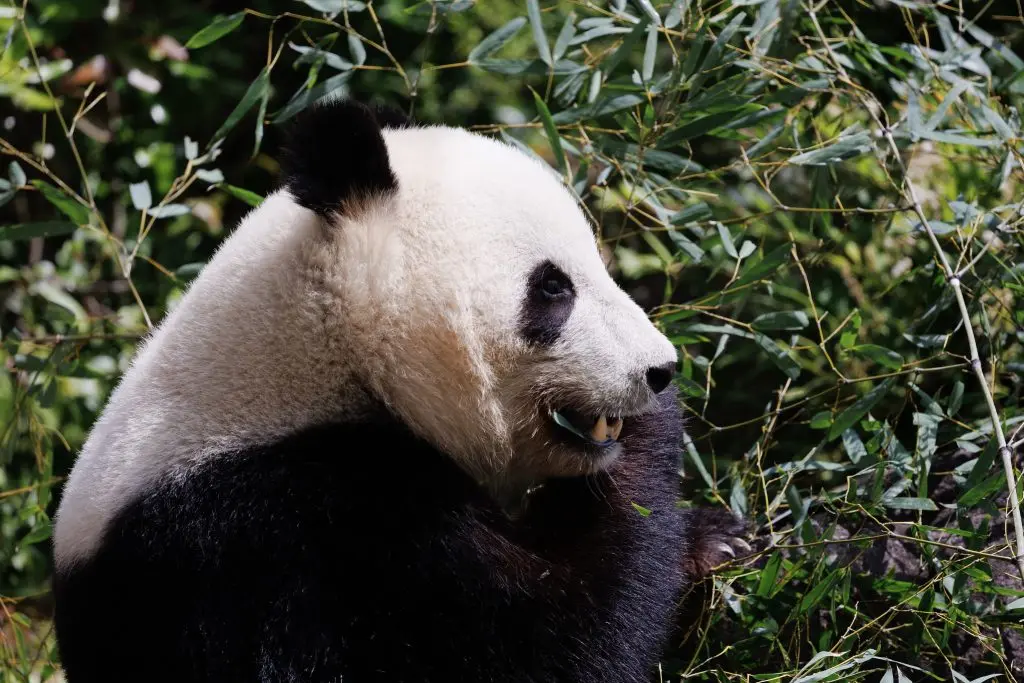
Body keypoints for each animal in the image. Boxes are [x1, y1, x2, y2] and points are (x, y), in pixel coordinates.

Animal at [52, 99, 746, 683]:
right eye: (553, 287)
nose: (659, 368)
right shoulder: (287, 535)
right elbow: (541, 646)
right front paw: (664, 458)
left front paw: (715, 535)